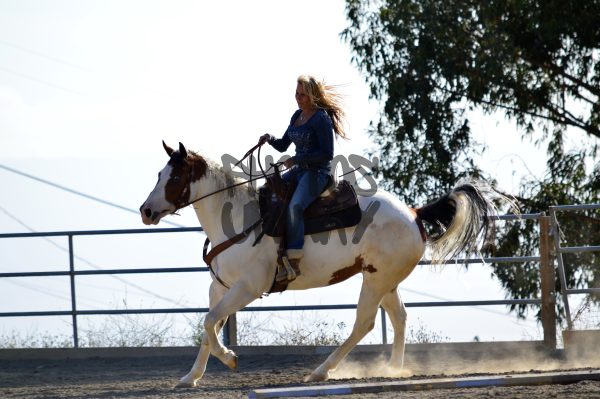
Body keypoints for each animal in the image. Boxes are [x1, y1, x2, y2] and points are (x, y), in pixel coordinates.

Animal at [139, 141, 510, 388]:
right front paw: (190, 377)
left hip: (375, 281)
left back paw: (321, 371)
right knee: (399, 317)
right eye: (158, 173)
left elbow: (209, 323)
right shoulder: (221, 287)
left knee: (364, 324)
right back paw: (392, 370)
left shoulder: (248, 288)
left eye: (173, 178)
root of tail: (414, 213)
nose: (146, 211)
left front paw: (229, 357)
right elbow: (208, 325)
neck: (238, 220)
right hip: (385, 280)